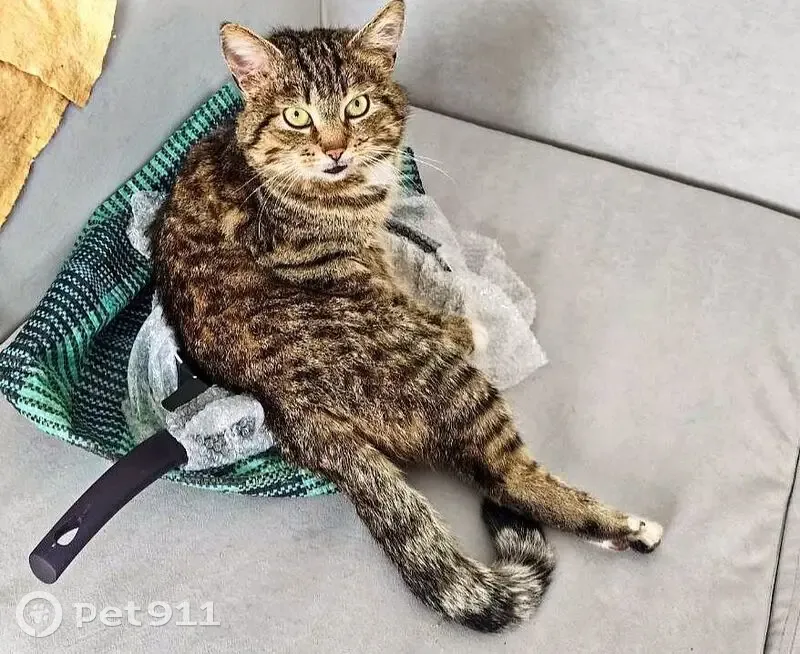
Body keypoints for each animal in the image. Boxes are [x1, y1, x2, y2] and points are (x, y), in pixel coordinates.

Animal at [151, 0, 663, 633]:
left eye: (358, 105)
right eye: (297, 116)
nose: (336, 149)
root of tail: (282, 406)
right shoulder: (361, 264)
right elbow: (417, 298)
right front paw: (469, 319)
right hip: (452, 381)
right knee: (507, 478)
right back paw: (629, 529)